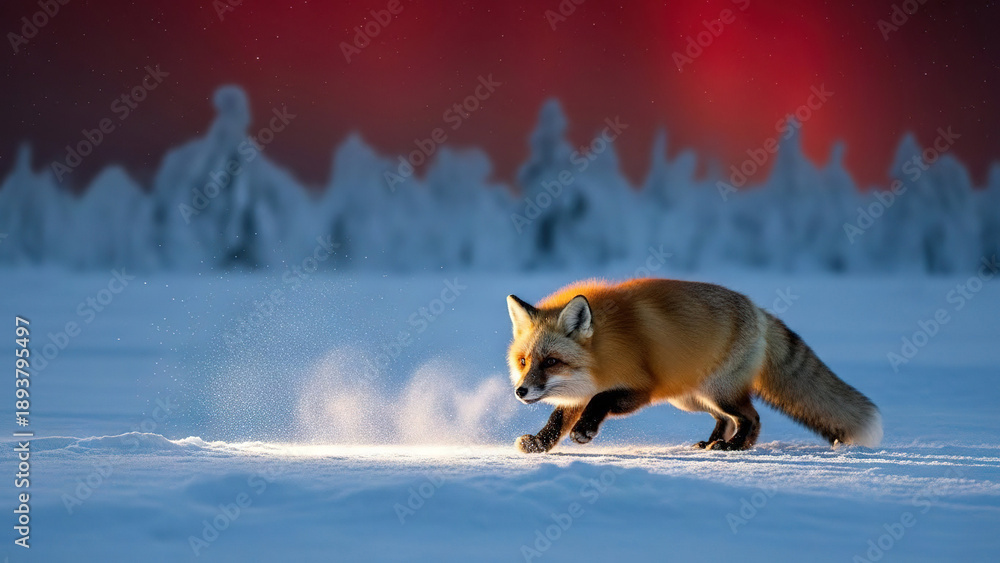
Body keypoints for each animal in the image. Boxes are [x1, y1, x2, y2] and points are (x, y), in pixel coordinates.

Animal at [506, 278, 882, 453]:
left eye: (552, 362)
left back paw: (735, 447)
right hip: (689, 397)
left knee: (751, 418)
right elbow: (558, 418)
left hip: (717, 392)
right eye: (524, 361)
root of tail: (757, 309)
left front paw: (583, 432)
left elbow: (600, 401)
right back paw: (713, 443)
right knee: (725, 420)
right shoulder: (579, 392)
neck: (601, 355)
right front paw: (539, 444)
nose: (520, 391)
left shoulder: (640, 388)